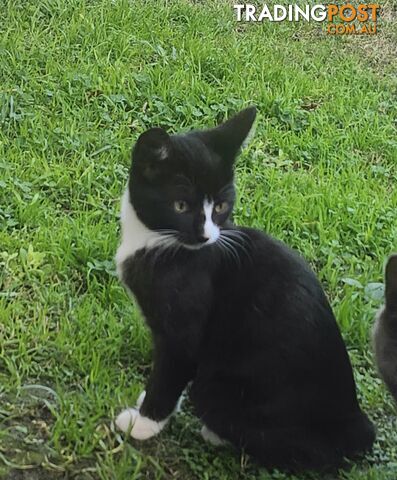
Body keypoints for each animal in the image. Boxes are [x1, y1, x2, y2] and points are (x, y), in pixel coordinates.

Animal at [114, 109, 374, 472]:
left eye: (221, 206)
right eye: (180, 206)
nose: (207, 236)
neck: (157, 242)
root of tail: (354, 422)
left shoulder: (183, 332)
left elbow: (170, 373)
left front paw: (143, 422)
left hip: (220, 387)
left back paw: (216, 432)